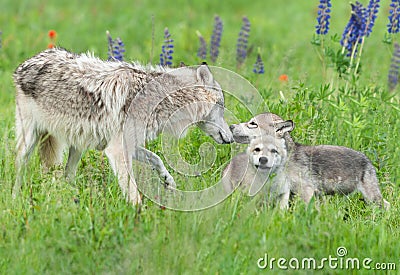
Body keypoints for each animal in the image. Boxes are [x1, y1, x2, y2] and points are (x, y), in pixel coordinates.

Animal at [14, 48, 233, 206]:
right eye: (222, 105)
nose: (231, 137)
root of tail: (27, 62)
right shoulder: (116, 150)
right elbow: (133, 191)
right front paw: (139, 216)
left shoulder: (131, 146)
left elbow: (157, 158)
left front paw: (167, 180)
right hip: (29, 142)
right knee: (19, 169)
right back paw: (16, 198)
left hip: (77, 146)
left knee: (67, 176)